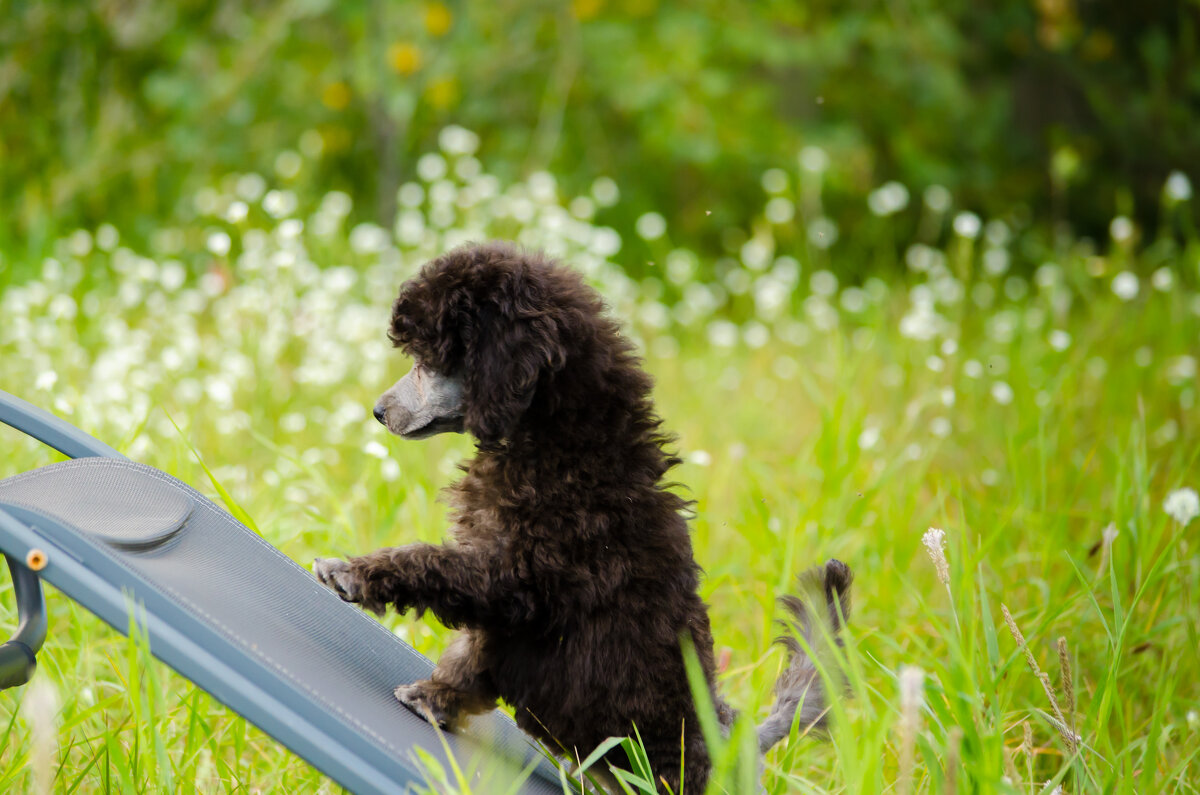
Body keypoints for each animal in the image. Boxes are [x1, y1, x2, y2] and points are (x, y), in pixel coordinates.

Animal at [314, 242, 849, 795]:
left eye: (428, 360)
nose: (378, 411)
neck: (562, 444)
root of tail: (739, 741)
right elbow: (468, 661)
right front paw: (433, 697)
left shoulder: (513, 577)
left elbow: (426, 564)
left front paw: (353, 573)